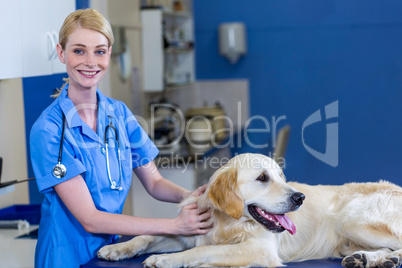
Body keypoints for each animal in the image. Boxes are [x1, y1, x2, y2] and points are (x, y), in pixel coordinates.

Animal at [97, 154, 402, 266]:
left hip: (351, 219)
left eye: (281, 176)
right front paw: (116, 249)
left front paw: (164, 260)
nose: (300, 197)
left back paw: (387, 258)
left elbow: (203, 252)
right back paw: (366, 258)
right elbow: (146, 236)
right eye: (263, 178)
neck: (229, 223)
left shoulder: (259, 249)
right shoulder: (189, 232)